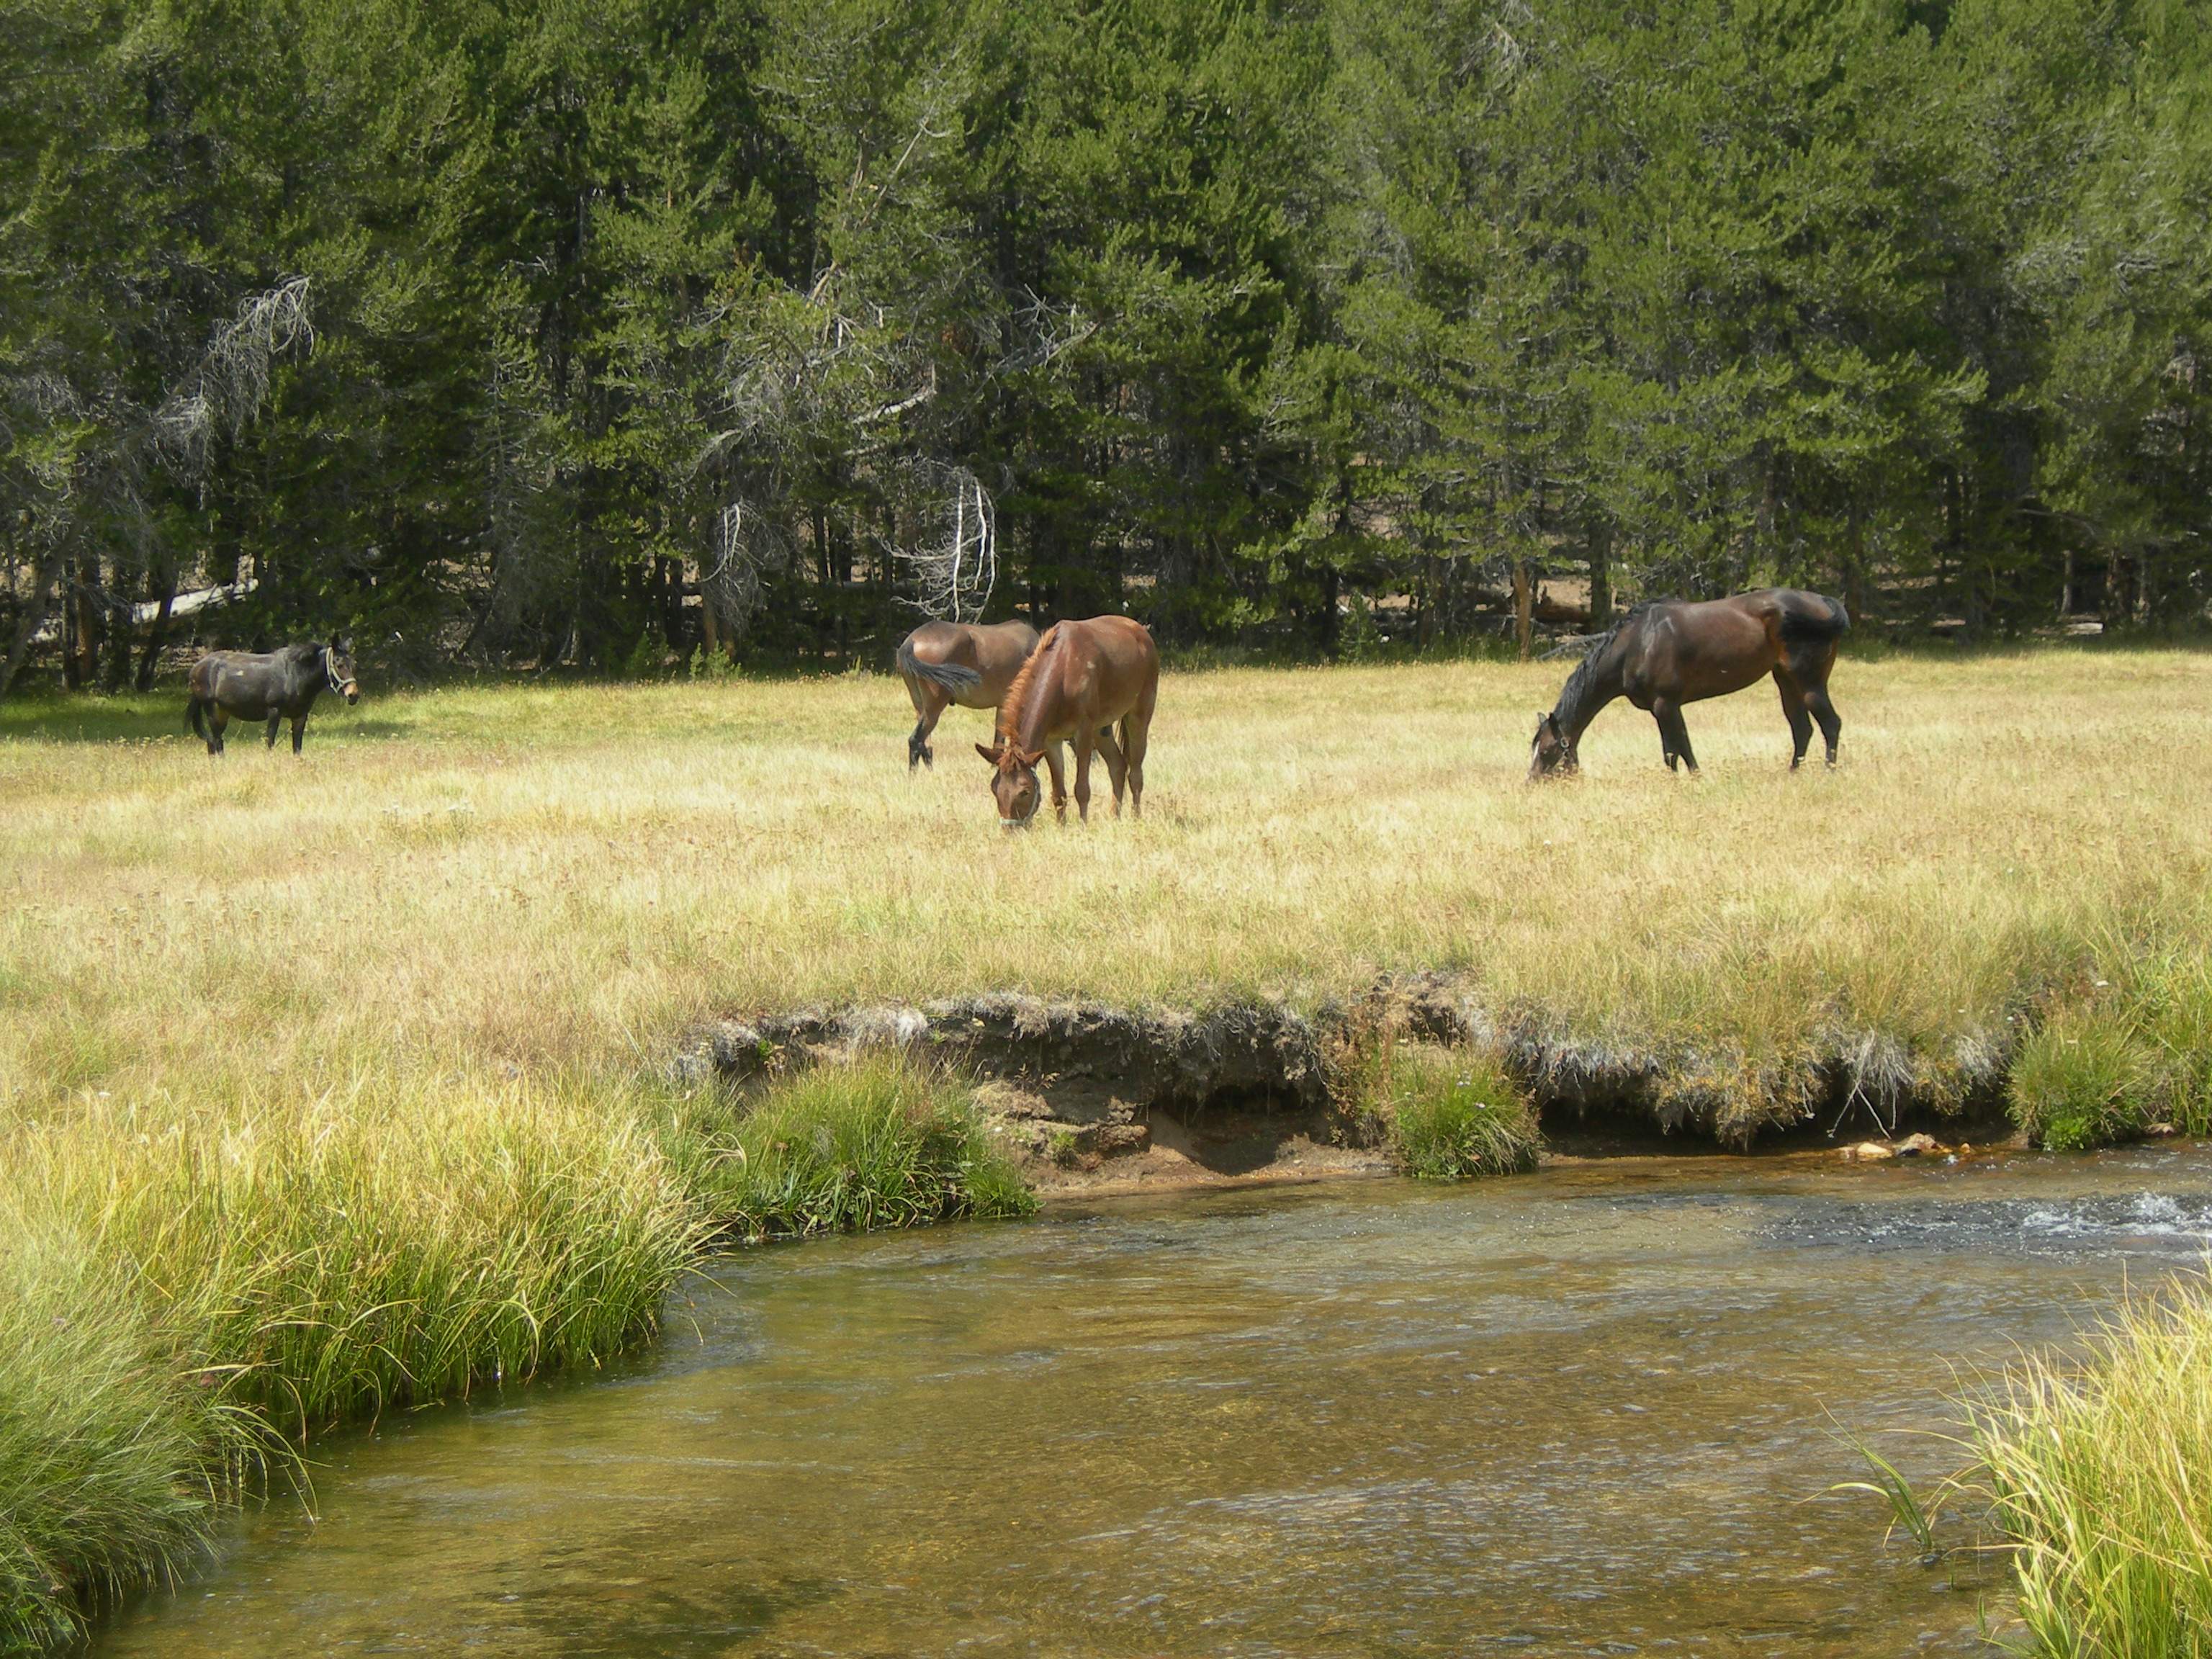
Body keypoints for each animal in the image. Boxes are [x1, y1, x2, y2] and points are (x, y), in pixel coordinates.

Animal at [186, 637, 356, 760]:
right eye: (338, 664)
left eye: (352, 664)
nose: (354, 695)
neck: (296, 674)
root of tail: (195, 668)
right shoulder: (274, 711)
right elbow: (270, 741)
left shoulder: (300, 716)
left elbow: (297, 747)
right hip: (213, 711)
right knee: (216, 742)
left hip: (223, 712)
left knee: (213, 743)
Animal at [894, 619, 1039, 770]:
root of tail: (912, 640)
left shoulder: (1003, 705)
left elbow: (998, 745)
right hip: (933, 707)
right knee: (916, 741)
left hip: (920, 706)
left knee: (926, 746)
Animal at [981, 619, 1168, 832]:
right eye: (994, 788)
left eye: (1025, 791)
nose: (1010, 831)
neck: (1064, 671)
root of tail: (1142, 631)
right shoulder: (1051, 740)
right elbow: (1059, 793)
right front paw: (1061, 828)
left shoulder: (1084, 731)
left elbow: (1082, 788)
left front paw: (1083, 826)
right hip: (1102, 729)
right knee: (1118, 766)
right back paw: (1115, 817)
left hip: (1139, 715)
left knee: (1135, 773)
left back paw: (1136, 818)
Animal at [1521, 593, 1849, 783]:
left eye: (1548, 750)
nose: (1531, 781)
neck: (1638, 643)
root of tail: (1825, 603)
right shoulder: (1662, 708)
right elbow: (1674, 748)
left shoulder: (1666, 704)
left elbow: (1678, 747)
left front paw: (1691, 778)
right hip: (1785, 681)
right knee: (1802, 728)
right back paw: (1793, 773)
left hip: (1809, 682)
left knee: (1831, 724)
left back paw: (1829, 772)